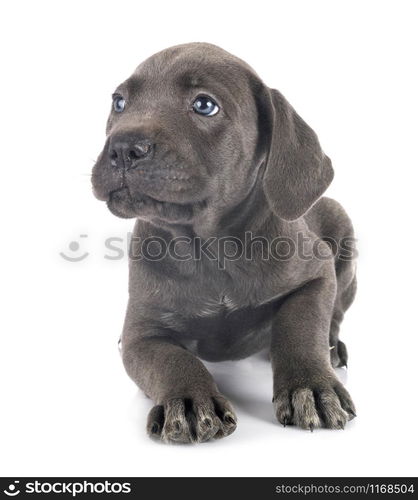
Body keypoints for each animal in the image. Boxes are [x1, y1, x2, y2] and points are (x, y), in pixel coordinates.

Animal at [91, 42, 356, 442]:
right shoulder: (142, 333)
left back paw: (333, 346)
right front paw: (189, 399)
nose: (122, 147)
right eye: (119, 102)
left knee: (336, 311)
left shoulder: (316, 274)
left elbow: (302, 327)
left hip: (344, 231)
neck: (207, 247)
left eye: (204, 105)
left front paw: (311, 387)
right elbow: (171, 359)